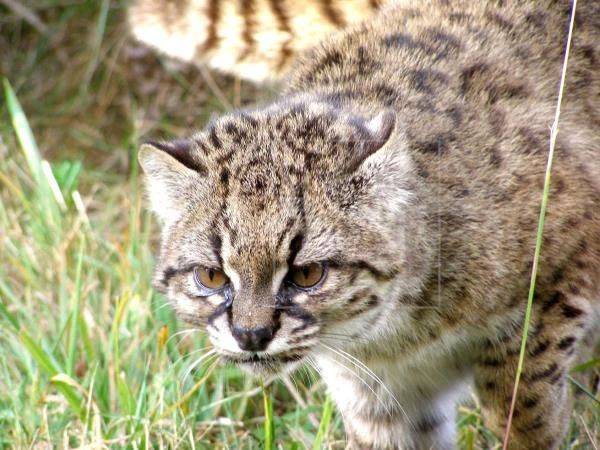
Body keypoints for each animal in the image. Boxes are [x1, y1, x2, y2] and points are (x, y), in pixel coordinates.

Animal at [134, 0, 596, 448]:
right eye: (211, 276)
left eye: (308, 274)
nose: (251, 336)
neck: (397, 330)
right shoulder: (376, 390)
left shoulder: (555, 284)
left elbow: (522, 411)